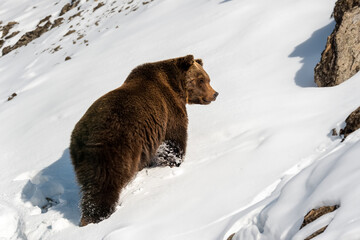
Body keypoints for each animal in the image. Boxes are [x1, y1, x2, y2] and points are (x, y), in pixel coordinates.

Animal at [69, 54, 218, 225]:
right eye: (201, 79)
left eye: (207, 78)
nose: (215, 94)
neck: (174, 85)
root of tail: (81, 138)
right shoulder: (169, 111)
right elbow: (173, 141)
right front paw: (175, 162)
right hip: (112, 147)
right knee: (104, 184)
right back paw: (99, 215)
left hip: (82, 160)